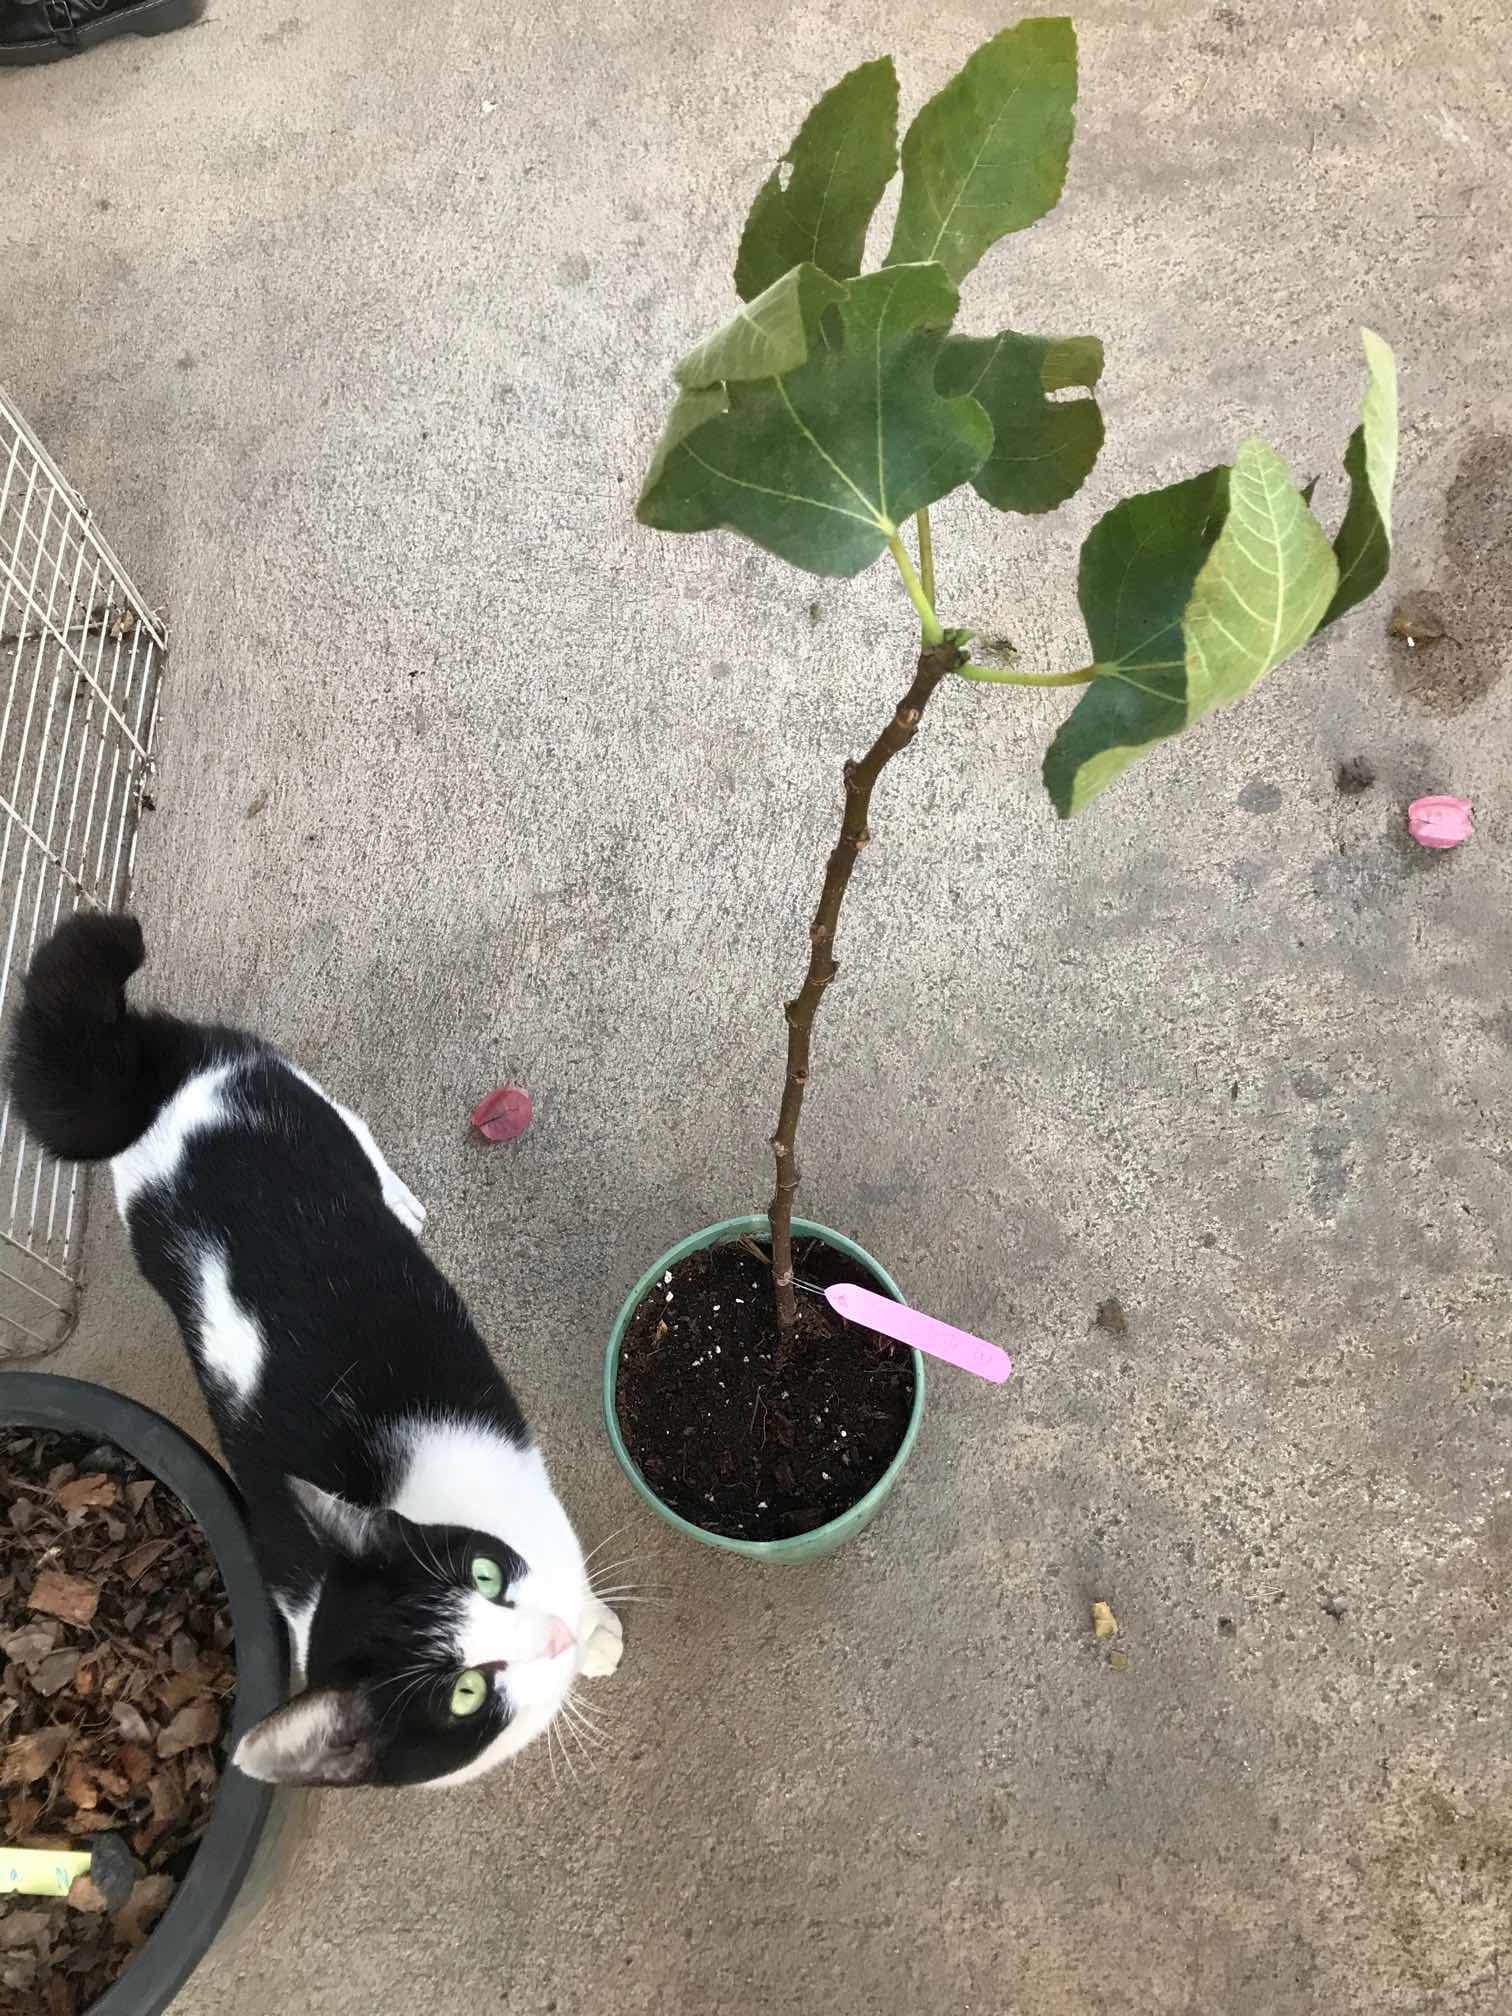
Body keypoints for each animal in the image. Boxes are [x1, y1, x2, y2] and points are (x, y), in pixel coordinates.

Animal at [6, 912, 622, 1788]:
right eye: (465, 1694)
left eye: (484, 1575)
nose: (554, 1640)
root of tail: (151, 1086)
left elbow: (574, 1578)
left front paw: (596, 1630)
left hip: (291, 1099)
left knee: (348, 1124)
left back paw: (396, 1196)